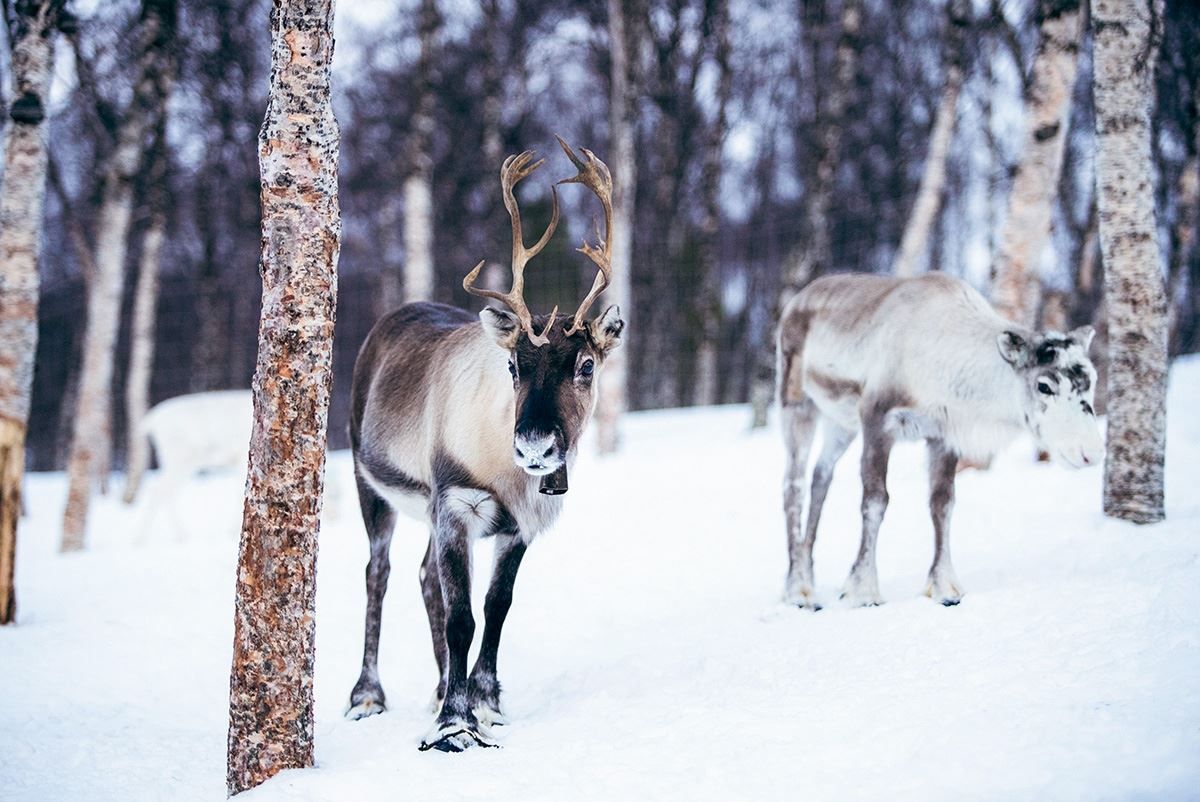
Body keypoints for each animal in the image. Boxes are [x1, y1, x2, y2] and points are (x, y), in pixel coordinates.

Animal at [345, 138, 625, 752]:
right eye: (515, 365)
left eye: (587, 365)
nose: (536, 445)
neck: (507, 474)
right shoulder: (455, 504)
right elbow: (463, 618)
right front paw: (455, 722)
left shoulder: (520, 526)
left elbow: (496, 609)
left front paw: (485, 703)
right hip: (369, 482)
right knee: (380, 573)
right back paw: (368, 696)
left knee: (426, 578)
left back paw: (435, 688)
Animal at [777, 272, 1104, 610]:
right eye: (1044, 385)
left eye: (1091, 380)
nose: (1091, 453)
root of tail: (797, 299)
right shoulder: (877, 421)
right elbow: (875, 501)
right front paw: (863, 590)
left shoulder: (943, 436)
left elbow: (942, 504)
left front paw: (944, 587)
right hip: (797, 404)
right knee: (793, 485)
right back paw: (798, 590)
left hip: (840, 424)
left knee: (821, 476)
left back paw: (809, 576)